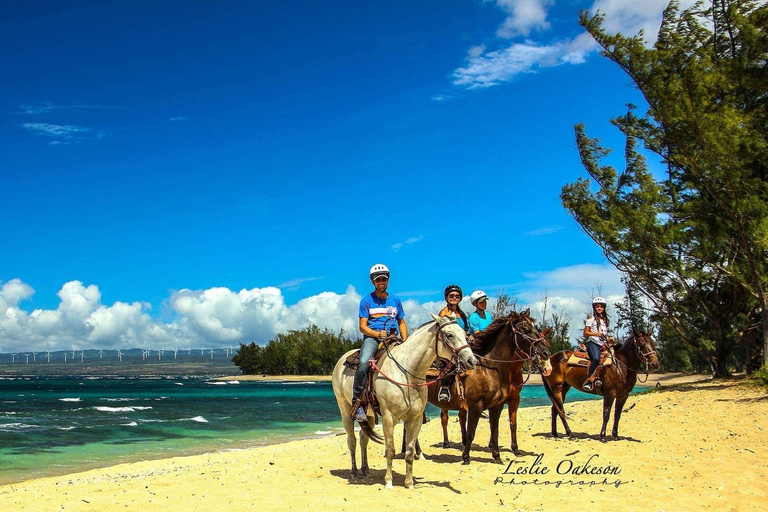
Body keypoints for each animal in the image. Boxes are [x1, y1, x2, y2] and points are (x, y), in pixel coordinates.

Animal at [332, 314, 476, 490]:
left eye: (463, 333)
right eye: (449, 334)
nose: (471, 360)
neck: (407, 373)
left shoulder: (415, 419)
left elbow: (409, 451)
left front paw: (409, 483)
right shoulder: (389, 418)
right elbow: (390, 450)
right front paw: (388, 482)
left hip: (369, 414)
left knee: (363, 439)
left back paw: (365, 470)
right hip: (345, 409)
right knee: (351, 440)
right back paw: (354, 472)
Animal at [426, 310, 552, 466]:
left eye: (536, 328)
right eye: (525, 329)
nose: (546, 353)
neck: (489, 370)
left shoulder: (498, 406)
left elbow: (496, 430)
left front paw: (497, 456)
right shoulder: (476, 406)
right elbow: (471, 432)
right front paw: (466, 457)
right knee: (443, 419)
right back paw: (444, 444)